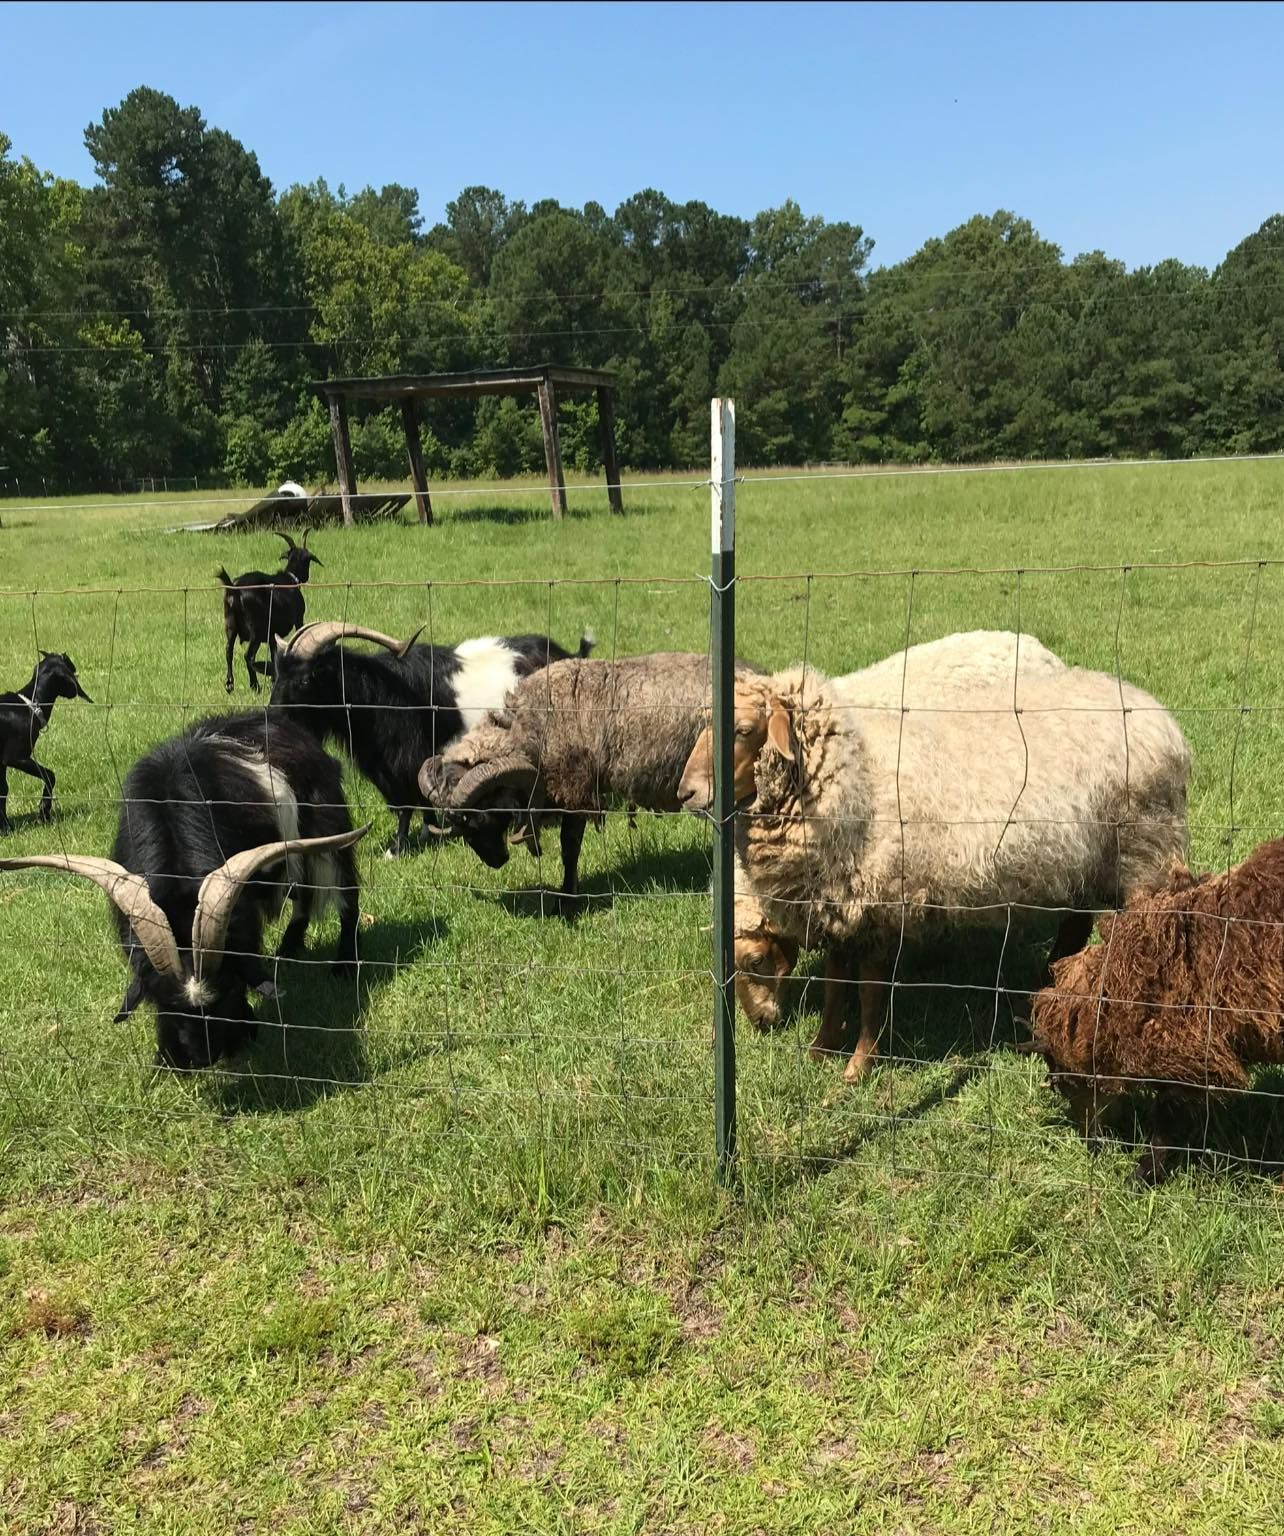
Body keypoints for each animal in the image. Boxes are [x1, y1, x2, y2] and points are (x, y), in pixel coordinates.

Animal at [0, 651, 93, 834]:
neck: (29, 707)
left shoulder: (1, 763)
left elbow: (3, 790)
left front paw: (4, 826)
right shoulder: (16, 757)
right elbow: (50, 775)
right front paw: (44, 811)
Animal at [0, 712, 369, 1071]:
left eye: (227, 989)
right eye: (163, 1001)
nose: (202, 1058)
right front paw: (164, 1056)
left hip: (326, 831)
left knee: (345, 894)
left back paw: (344, 965)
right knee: (303, 896)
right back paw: (289, 949)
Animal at [218, 529, 322, 693]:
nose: (306, 577)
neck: (291, 578)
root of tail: (235, 590)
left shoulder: (272, 633)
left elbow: (274, 654)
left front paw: (275, 680)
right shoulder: (299, 618)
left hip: (230, 624)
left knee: (228, 651)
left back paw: (230, 684)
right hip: (255, 629)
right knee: (248, 655)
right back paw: (255, 685)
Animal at [269, 622, 595, 856]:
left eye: (305, 679)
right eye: (276, 674)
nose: (273, 716)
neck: (376, 696)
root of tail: (570, 656)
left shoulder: (404, 758)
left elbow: (406, 802)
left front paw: (396, 849)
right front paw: (429, 831)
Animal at [418, 650, 766, 917]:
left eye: (482, 814)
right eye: (457, 824)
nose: (495, 861)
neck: (530, 727)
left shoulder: (575, 789)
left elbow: (569, 847)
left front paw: (566, 902)